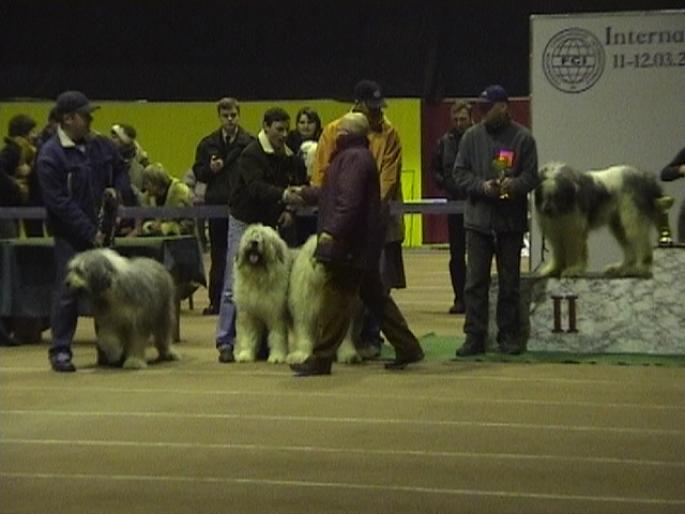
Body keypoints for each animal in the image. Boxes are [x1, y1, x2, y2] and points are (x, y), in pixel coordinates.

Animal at [234, 223, 290, 360]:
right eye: (252, 234)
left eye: (263, 238)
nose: (254, 242)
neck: (258, 277)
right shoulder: (249, 313)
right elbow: (248, 335)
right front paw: (245, 354)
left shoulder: (276, 314)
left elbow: (277, 336)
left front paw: (277, 356)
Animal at [284, 234, 358, 362]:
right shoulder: (305, 310)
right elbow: (304, 331)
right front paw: (303, 354)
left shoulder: (344, 312)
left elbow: (345, 335)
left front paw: (348, 354)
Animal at [532, 163, 672, 276]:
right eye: (542, 193)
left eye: (557, 195)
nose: (547, 209)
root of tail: (645, 177)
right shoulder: (554, 231)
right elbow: (558, 251)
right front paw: (553, 269)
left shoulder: (574, 229)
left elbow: (575, 249)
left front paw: (574, 268)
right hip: (618, 224)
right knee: (628, 247)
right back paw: (622, 267)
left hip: (632, 217)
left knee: (641, 241)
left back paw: (642, 267)